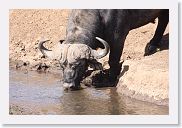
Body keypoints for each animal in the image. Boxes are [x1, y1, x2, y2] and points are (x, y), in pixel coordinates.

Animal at [38, 9, 169, 89]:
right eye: (61, 66)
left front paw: (110, 79)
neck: (100, 16)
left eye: (78, 65)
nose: (68, 85)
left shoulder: (119, 38)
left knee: (163, 20)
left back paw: (152, 45)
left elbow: (113, 60)